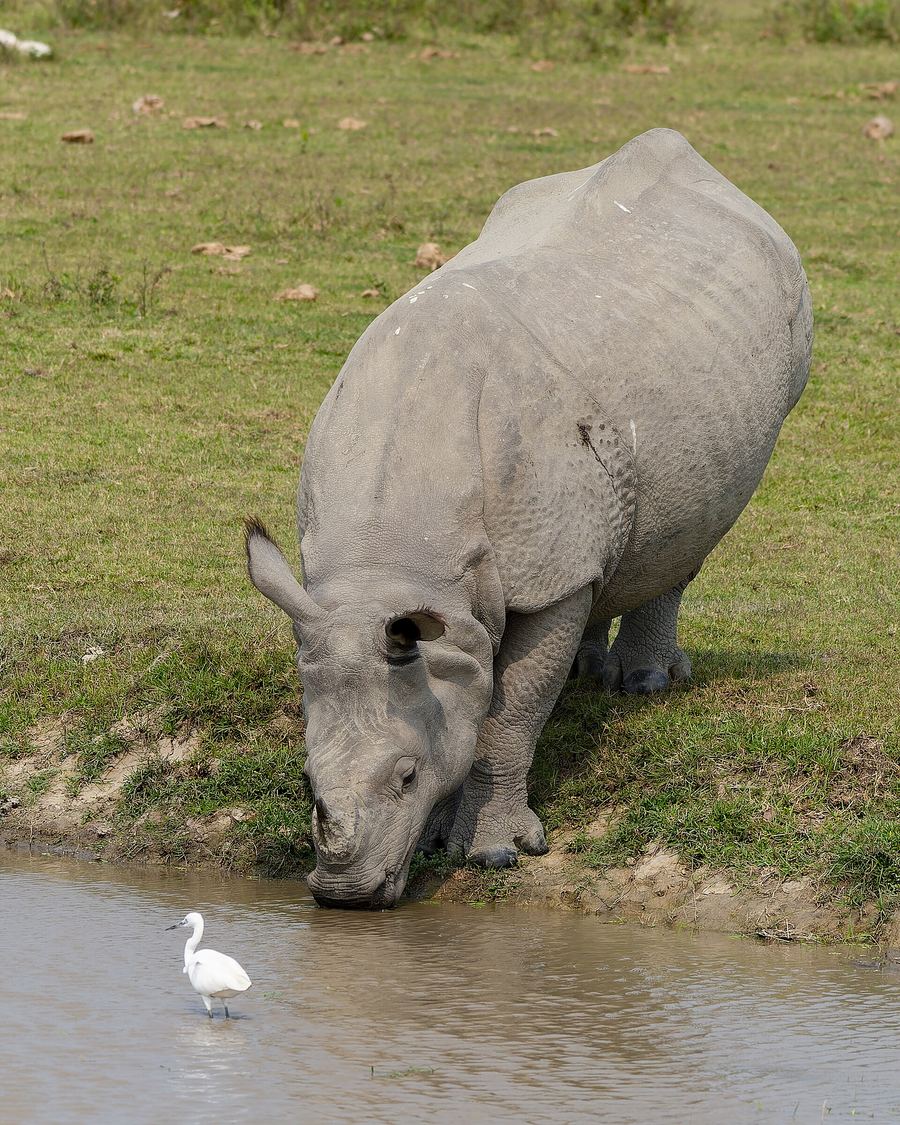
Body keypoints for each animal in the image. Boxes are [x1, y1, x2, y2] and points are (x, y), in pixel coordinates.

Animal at [246, 128, 812, 909]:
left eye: (407, 776)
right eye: (304, 781)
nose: (344, 894)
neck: (395, 564)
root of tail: (710, 170)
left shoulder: (542, 578)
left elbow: (511, 711)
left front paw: (492, 853)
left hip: (781, 335)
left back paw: (646, 682)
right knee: (610, 544)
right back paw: (588, 669)